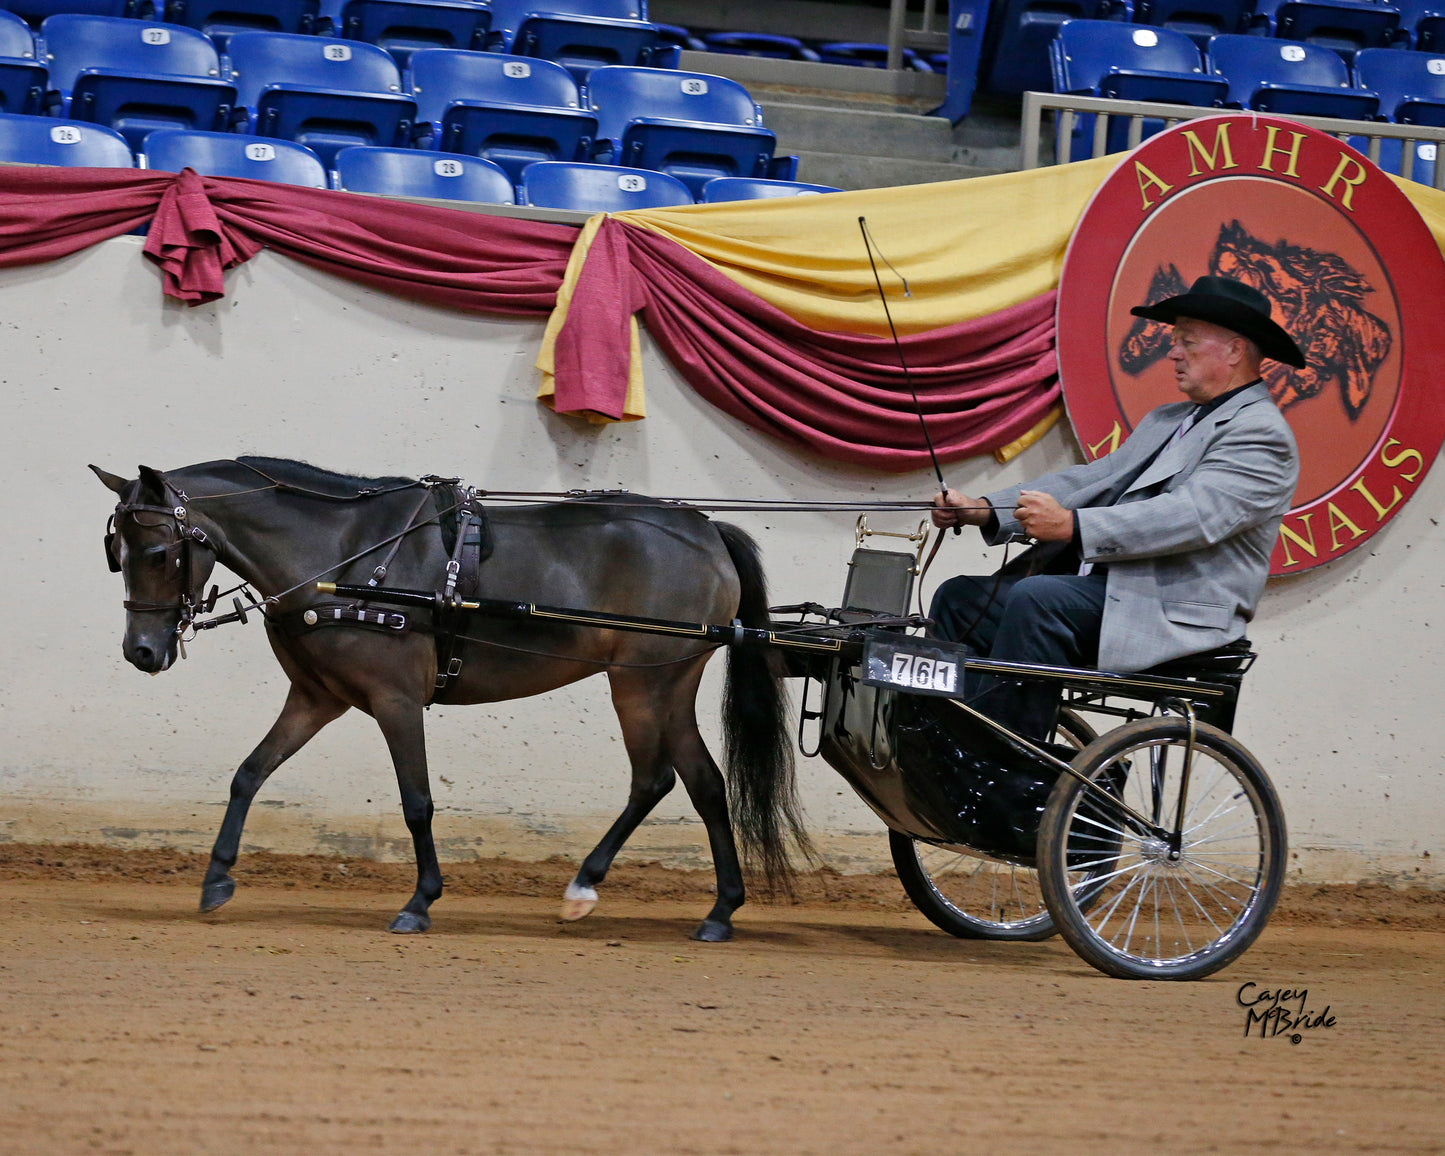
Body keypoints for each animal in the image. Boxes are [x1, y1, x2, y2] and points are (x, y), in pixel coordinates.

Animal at [96, 456, 809, 942]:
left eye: (157, 551)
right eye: (115, 551)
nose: (141, 652)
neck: (344, 556)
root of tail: (707, 530)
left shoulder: (395, 700)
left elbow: (416, 801)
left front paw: (420, 902)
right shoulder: (316, 697)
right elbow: (249, 773)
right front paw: (216, 879)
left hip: (640, 681)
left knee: (653, 779)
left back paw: (585, 885)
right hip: (668, 685)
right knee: (704, 783)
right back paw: (720, 910)